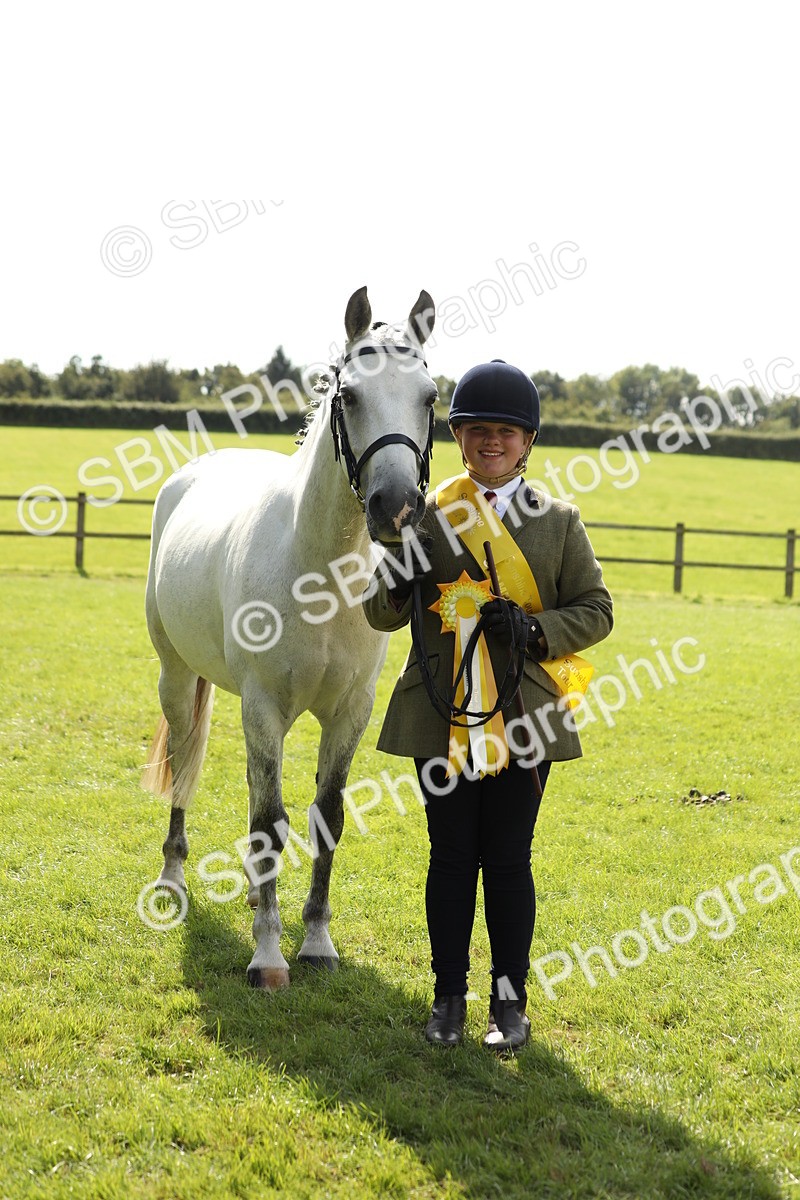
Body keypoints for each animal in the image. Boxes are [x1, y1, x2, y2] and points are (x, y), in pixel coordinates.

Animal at [142, 287, 437, 989]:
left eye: (430, 397)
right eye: (349, 396)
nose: (396, 508)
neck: (319, 569)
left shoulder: (349, 713)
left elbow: (323, 819)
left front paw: (316, 942)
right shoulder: (263, 707)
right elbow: (269, 825)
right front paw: (268, 957)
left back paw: (255, 893)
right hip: (178, 679)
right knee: (185, 769)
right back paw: (173, 875)